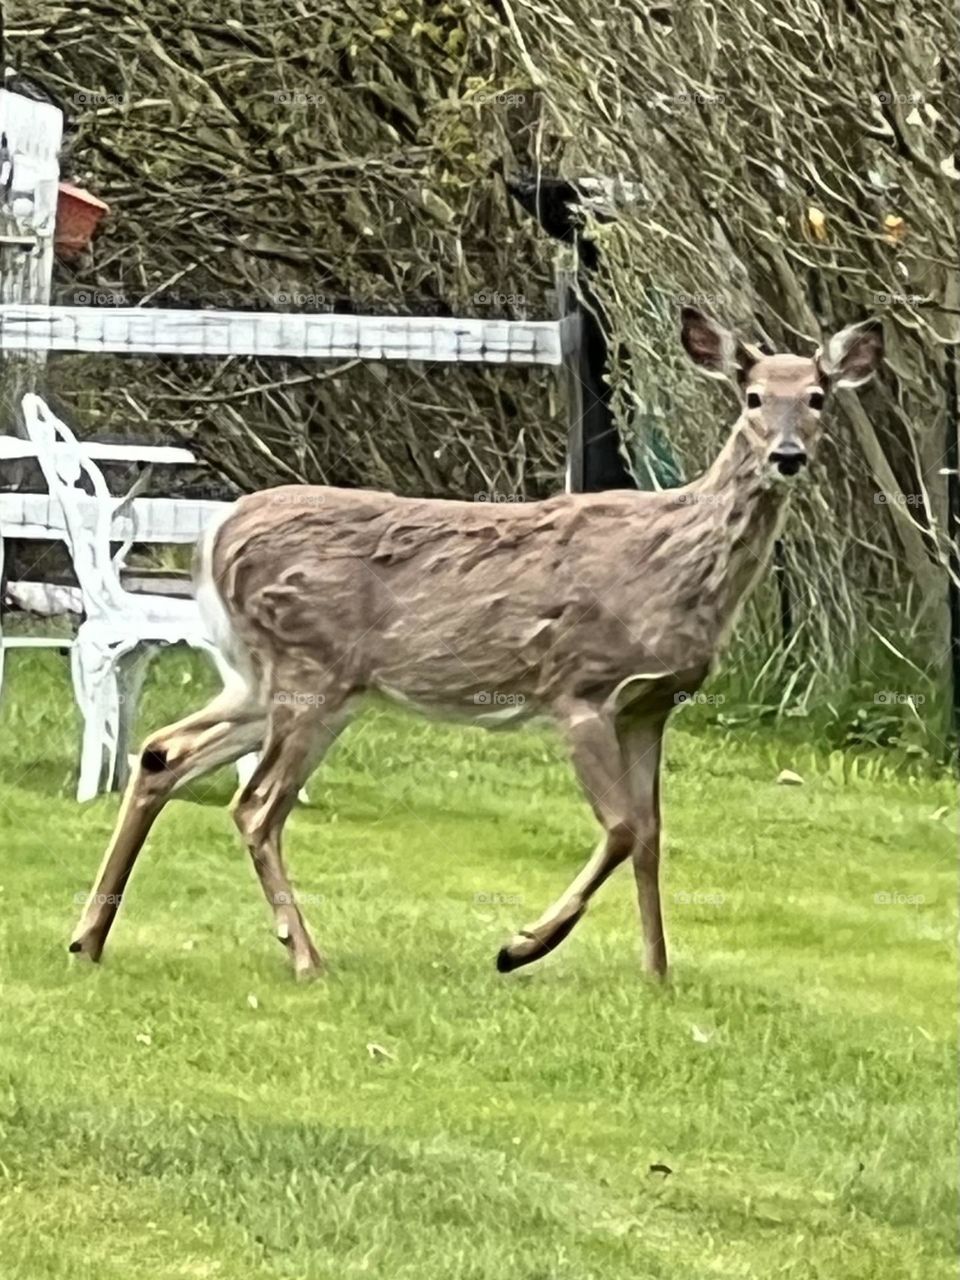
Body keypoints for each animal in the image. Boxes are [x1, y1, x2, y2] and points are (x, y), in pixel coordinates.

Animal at [68, 308, 883, 981]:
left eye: (818, 395)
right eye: (753, 397)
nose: (787, 455)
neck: (674, 563)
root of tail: (214, 537)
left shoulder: (653, 704)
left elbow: (652, 836)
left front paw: (658, 973)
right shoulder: (580, 687)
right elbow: (622, 828)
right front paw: (521, 947)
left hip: (265, 681)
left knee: (162, 753)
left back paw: (89, 938)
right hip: (308, 672)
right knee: (255, 805)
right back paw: (304, 957)